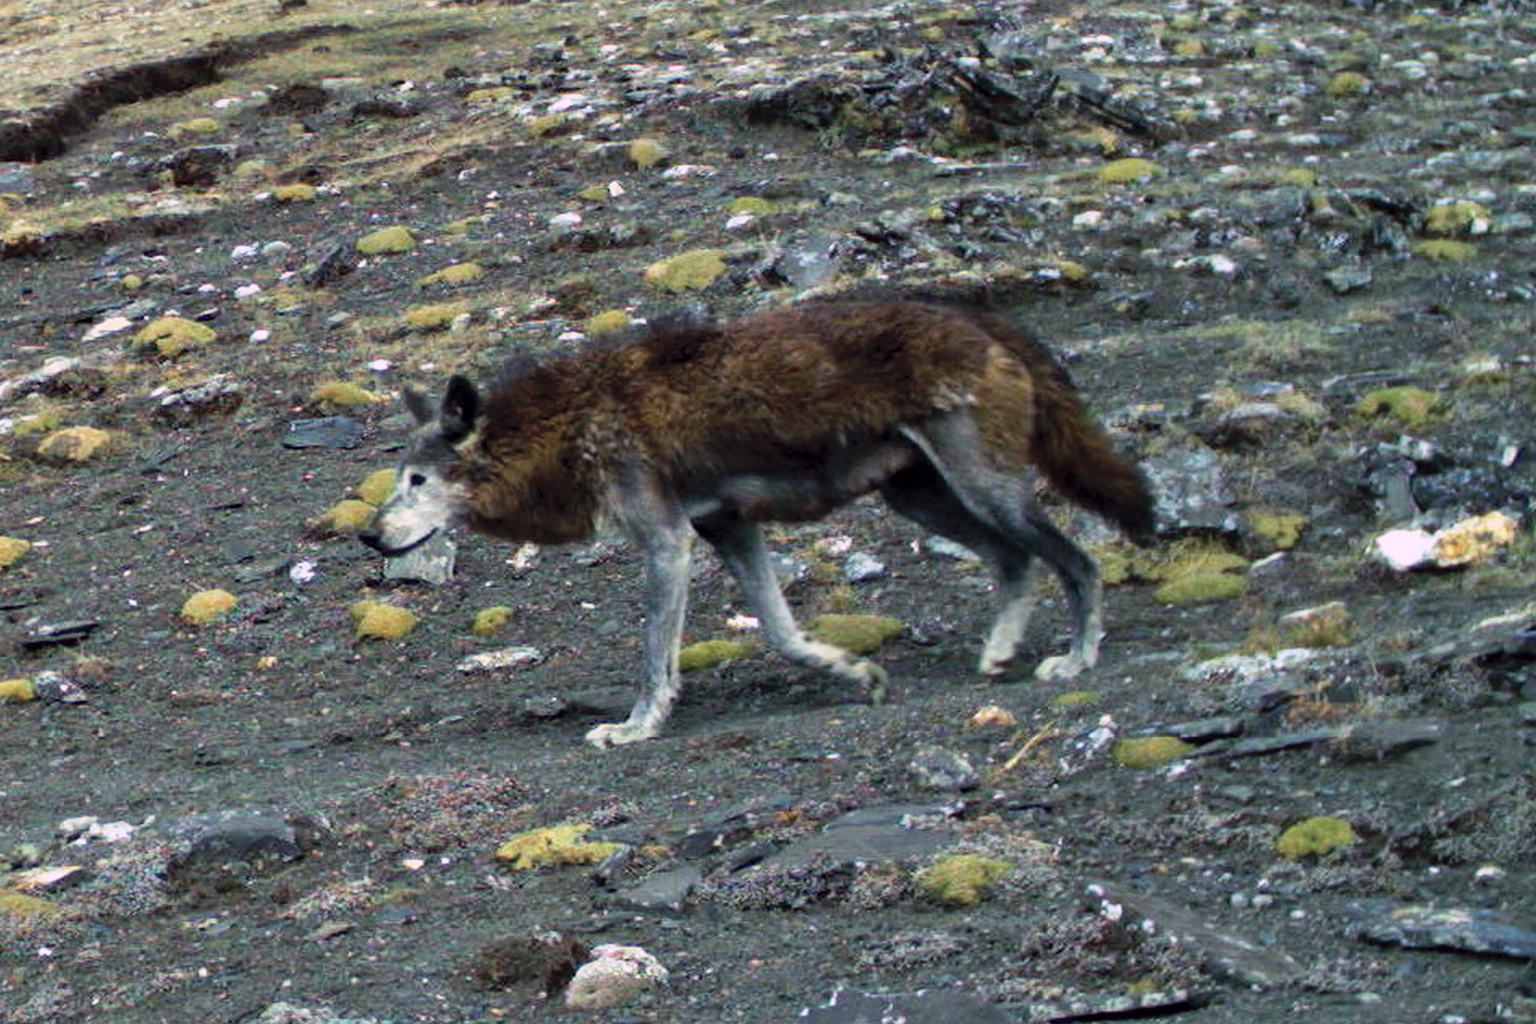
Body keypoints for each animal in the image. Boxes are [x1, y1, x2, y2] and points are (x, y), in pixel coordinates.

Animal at [359, 300, 1155, 749]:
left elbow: (654, 657)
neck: (564, 427)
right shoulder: (728, 529)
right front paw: (856, 673)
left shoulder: (669, 543)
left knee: (1077, 561)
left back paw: (1076, 659)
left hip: (983, 491)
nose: (368, 536)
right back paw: (996, 654)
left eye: (417, 481)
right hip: (923, 498)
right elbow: (782, 633)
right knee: (1016, 562)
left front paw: (636, 727)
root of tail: (982, 319)